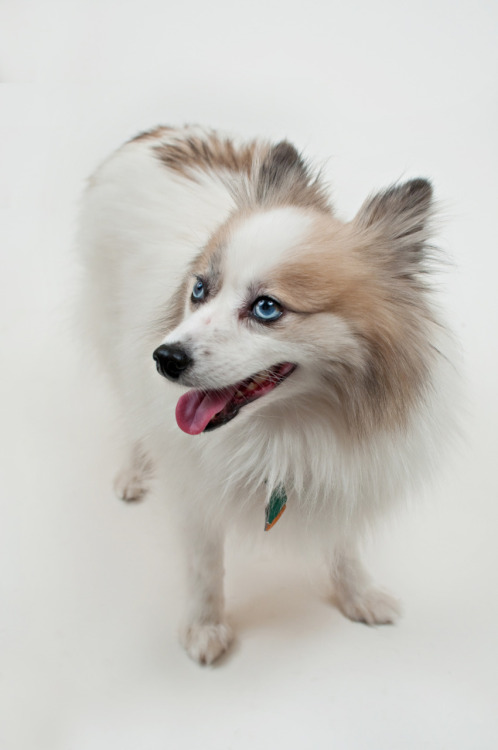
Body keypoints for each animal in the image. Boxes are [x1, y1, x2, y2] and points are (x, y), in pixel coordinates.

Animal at [80, 126, 458, 668]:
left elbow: (344, 546)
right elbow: (205, 566)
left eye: (266, 309)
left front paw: (359, 596)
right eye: (199, 290)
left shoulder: (345, 474)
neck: (288, 427)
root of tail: (155, 133)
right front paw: (205, 627)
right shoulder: (195, 490)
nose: (165, 358)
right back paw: (135, 471)